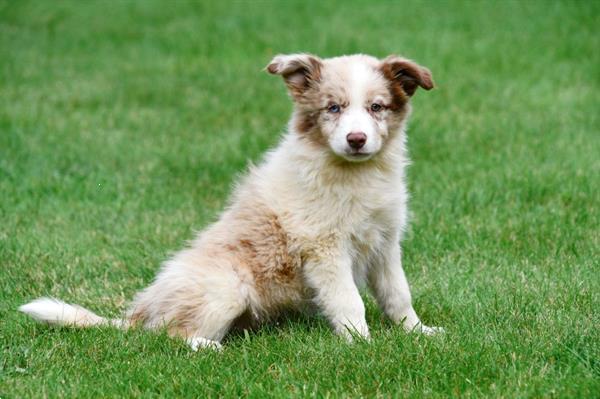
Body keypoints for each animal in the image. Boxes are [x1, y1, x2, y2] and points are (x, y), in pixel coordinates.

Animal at [19, 53, 440, 350]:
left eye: (376, 107)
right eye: (333, 108)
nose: (356, 139)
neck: (356, 174)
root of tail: (138, 315)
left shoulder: (385, 241)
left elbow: (397, 293)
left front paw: (418, 332)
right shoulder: (324, 248)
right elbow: (348, 300)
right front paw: (361, 344)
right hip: (226, 287)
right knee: (167, 334)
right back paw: (206, 346)